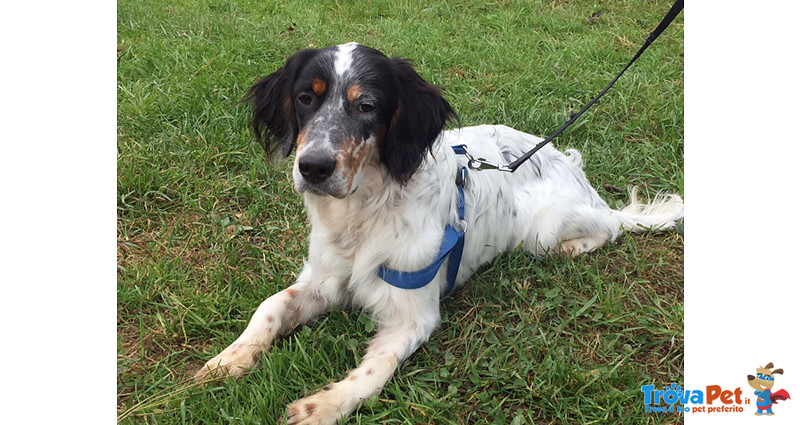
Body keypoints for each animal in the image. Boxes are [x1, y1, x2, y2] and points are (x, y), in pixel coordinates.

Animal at [192, 41, 680, 422]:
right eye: (305, 99)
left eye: (366, 105)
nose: (312, 167)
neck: (364, 211)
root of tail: (576, 173)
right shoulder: (324, 279)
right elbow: (270, 307)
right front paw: (228, 358)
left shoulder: (413, 315)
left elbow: (376, 370)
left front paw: (325, 405)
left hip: (544, 231)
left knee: (610, 226)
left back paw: (578, 245)